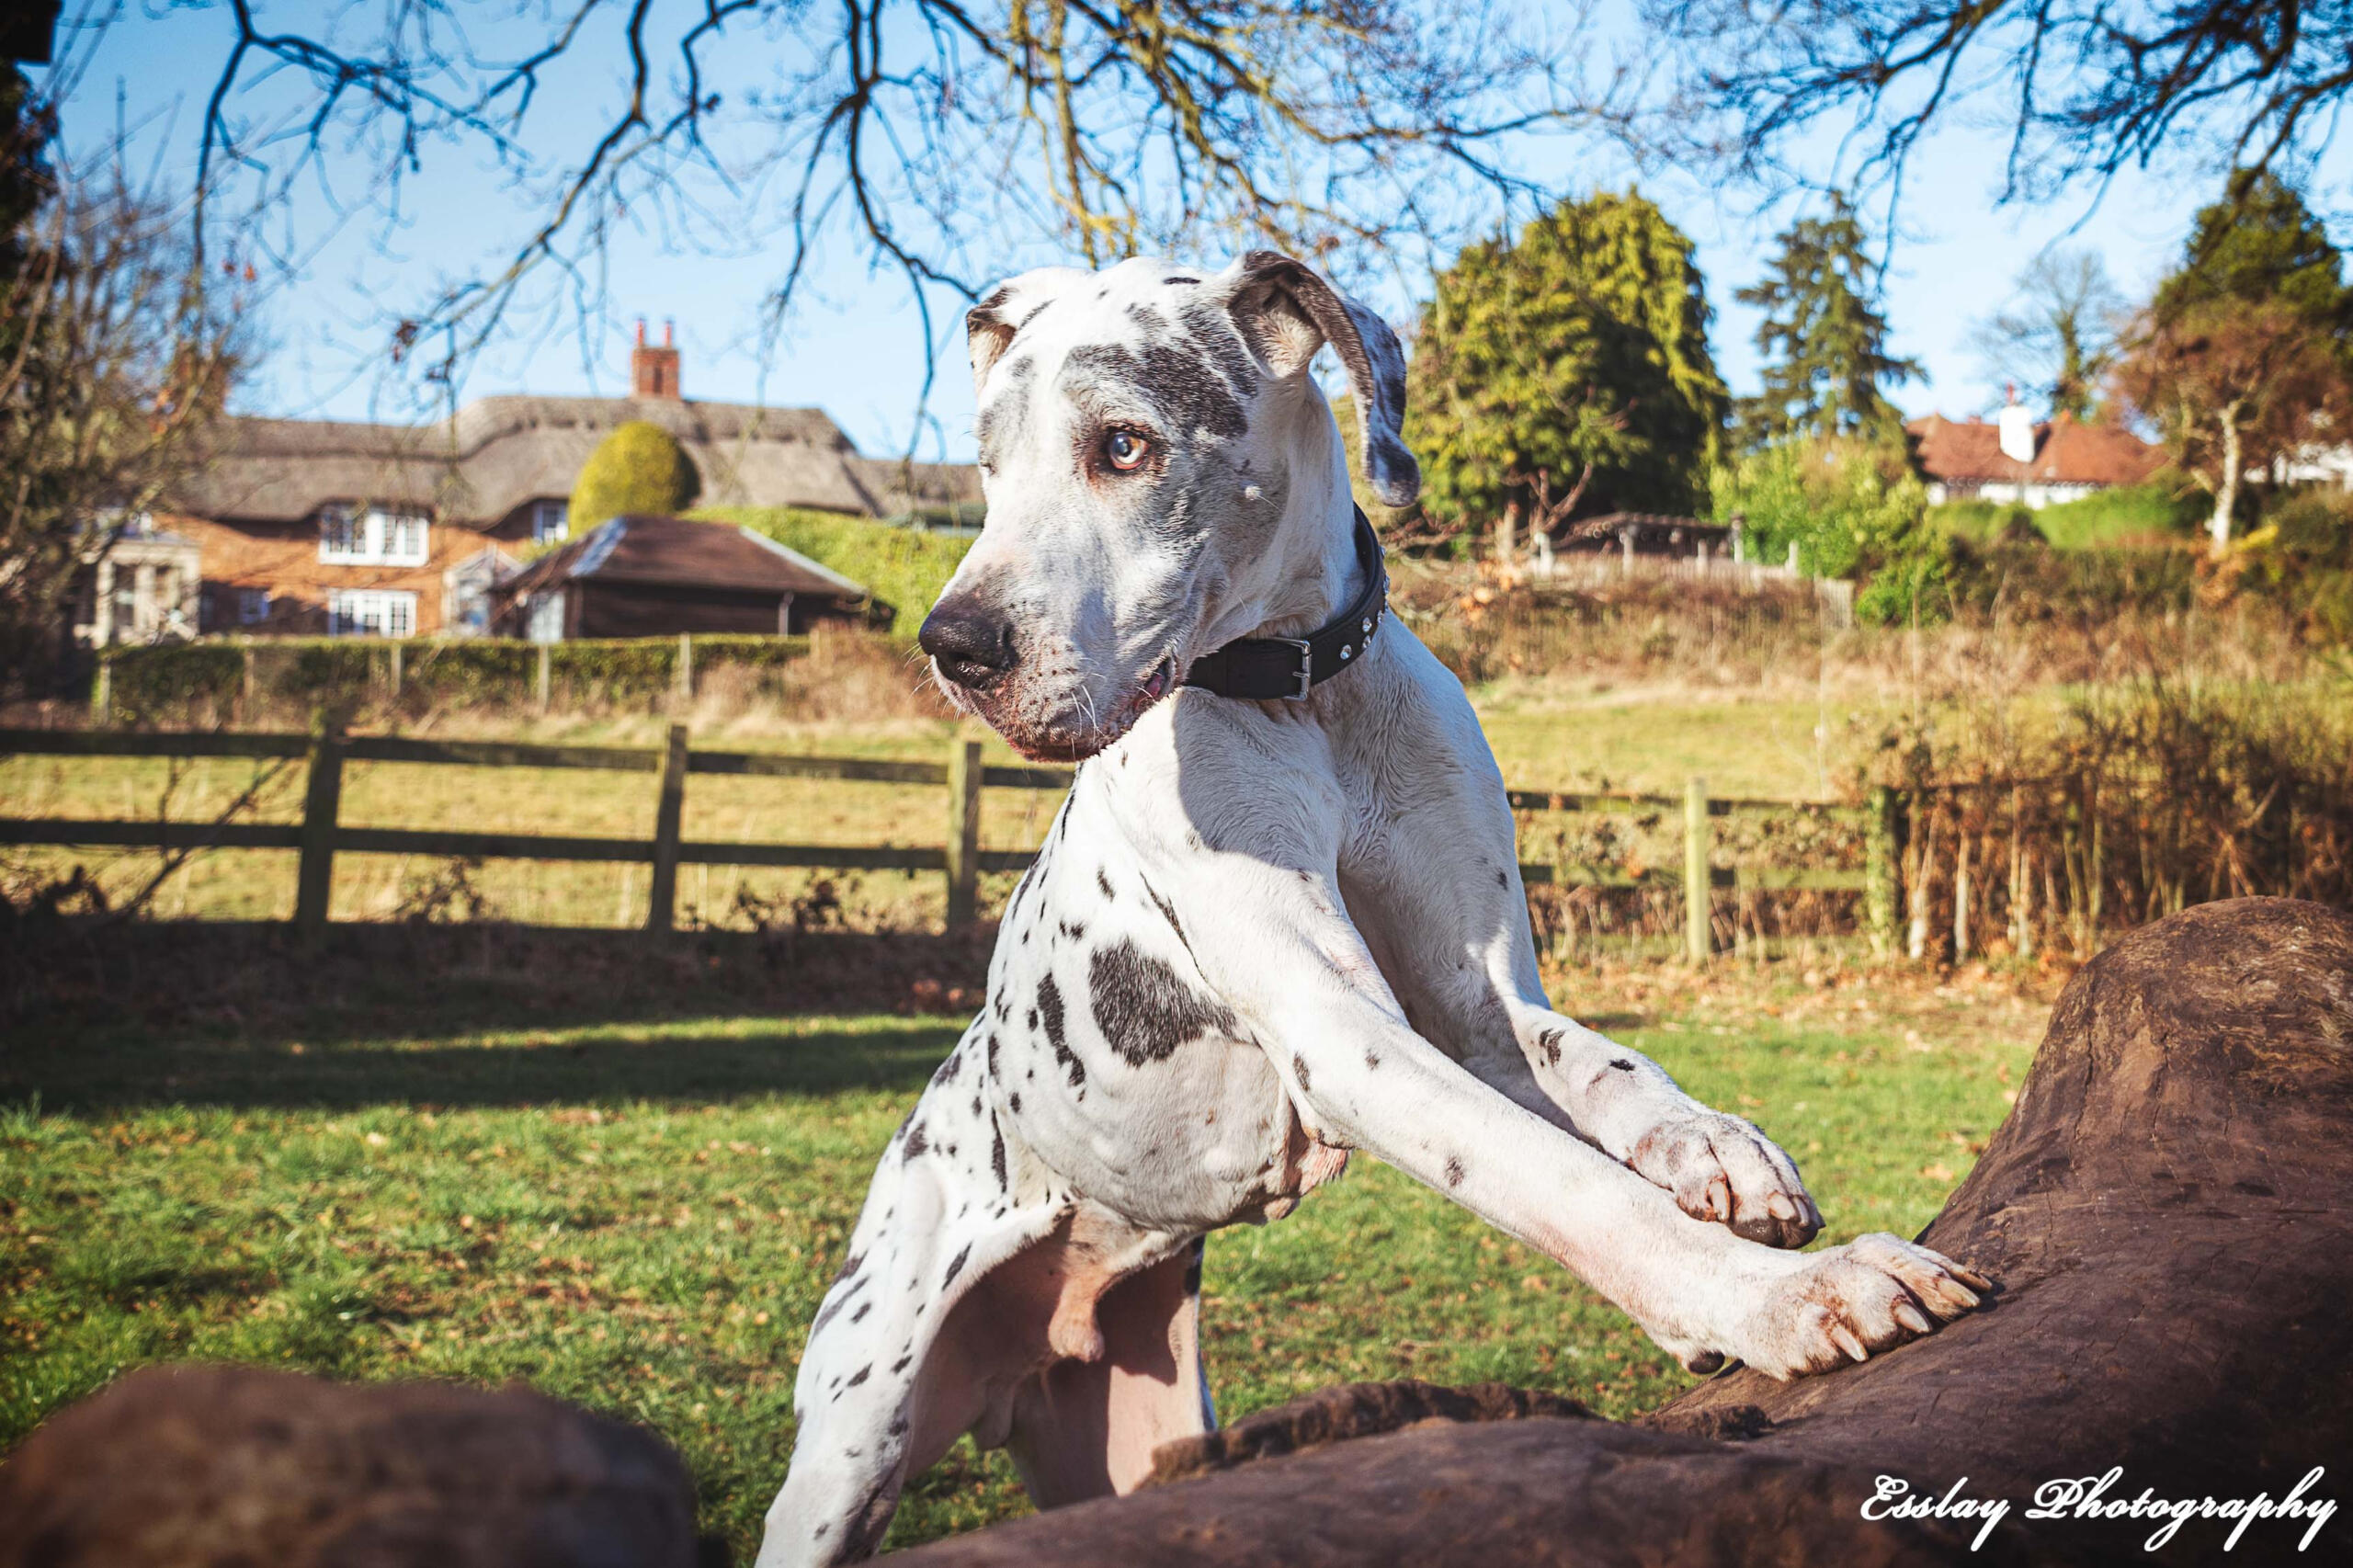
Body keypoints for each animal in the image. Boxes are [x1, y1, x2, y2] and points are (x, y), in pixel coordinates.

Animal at [753, 250, 1985, 1553]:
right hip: (849, 1447)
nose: (953, 644)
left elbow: (1607, 1067)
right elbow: (1572, 1187)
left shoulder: (1473, 999)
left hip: (1135, 1449)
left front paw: (1715, 1147)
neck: (1304, 694)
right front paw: (1787, 1295)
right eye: (988, 462)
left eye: (1124, 444)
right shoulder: (1346, 1032)